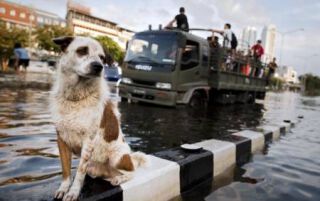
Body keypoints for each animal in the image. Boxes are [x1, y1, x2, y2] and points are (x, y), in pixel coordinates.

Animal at [51, 36, 148, 201]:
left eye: (102, 58)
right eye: (82, 50)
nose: (98, 66)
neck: (76, 97)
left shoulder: (88, 142)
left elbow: (79, 173)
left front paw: (73, 192)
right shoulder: (61, 139)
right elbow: (66, 171)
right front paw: (63, 189)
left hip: (117, 157)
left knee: (131, 172)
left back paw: (119, 179)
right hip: (94, 167)